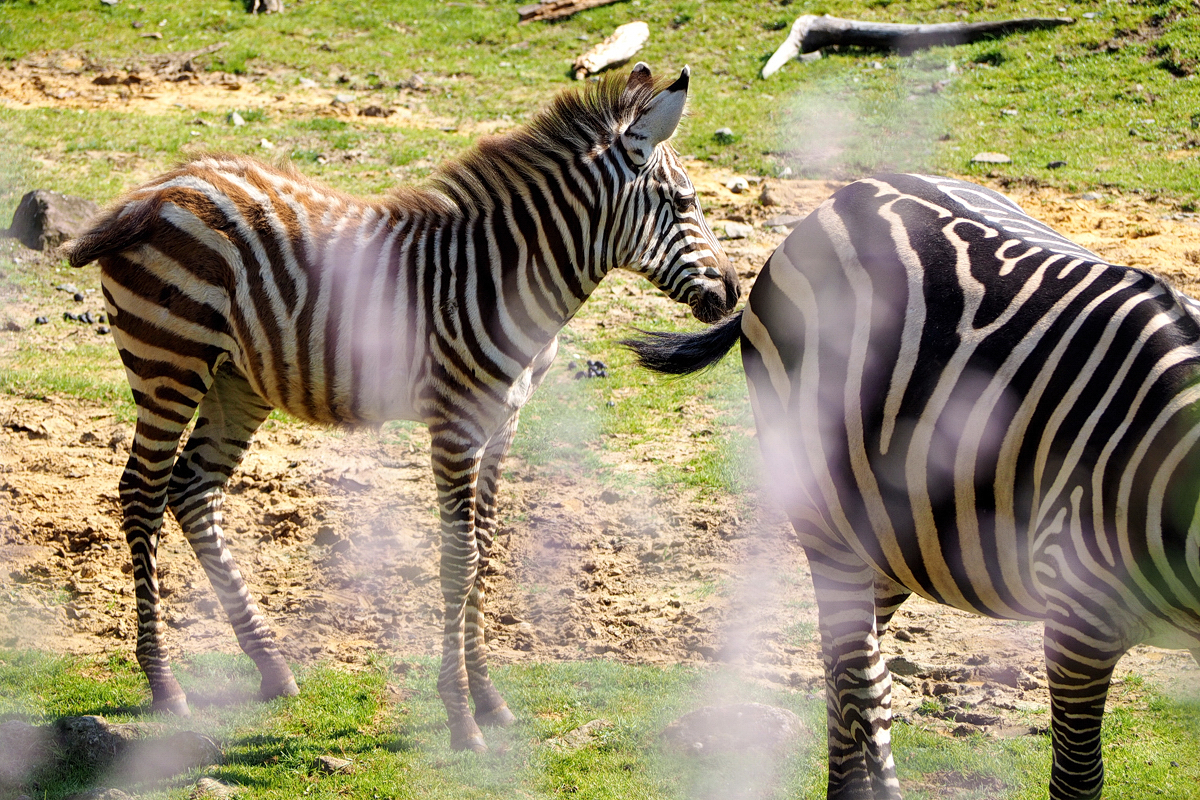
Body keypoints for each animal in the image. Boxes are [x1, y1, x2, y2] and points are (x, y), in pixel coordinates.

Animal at [68, 64, 739, 758]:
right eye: (683, 203)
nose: (733, 292)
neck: (508, 280)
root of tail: (160, 187)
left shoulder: (504, 423)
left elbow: (485, 550)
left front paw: (490, 699)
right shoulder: (455, 424)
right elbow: (459, 560)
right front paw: (461, 717)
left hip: (236, 378)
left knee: (194, 491)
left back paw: (271, 667)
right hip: (169, 360)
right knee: (143, 492)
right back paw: (164, 684)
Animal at [624, 172, 1200, 796]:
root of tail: (846, 194)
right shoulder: (1078, 625)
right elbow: (1077, 779)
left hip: (890, 531)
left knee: (845, 664)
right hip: (821, 514)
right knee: (861, 680)